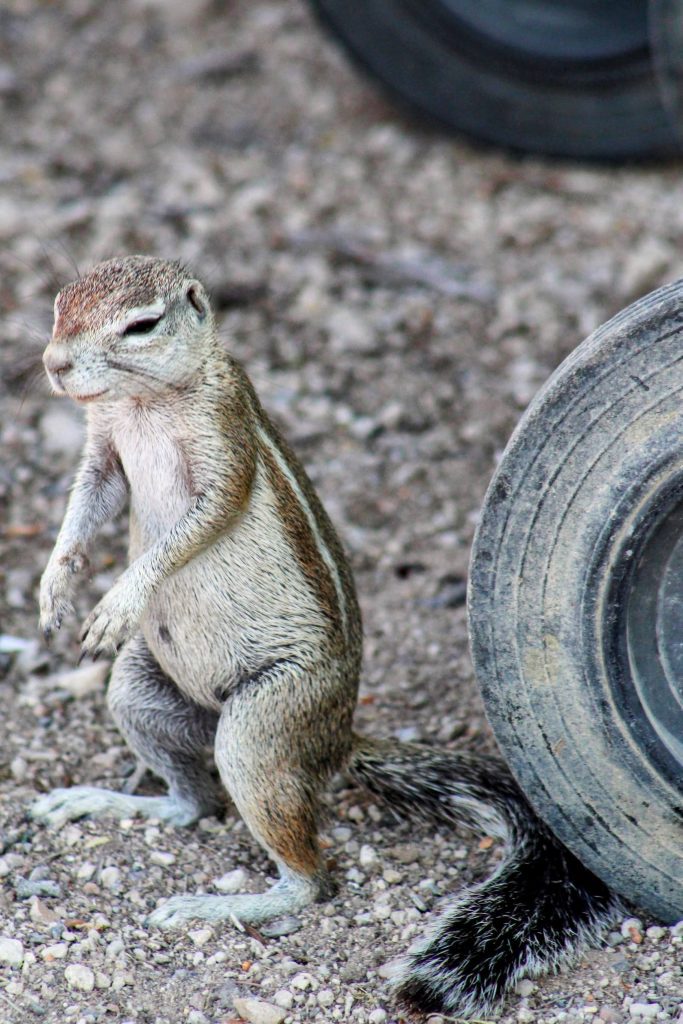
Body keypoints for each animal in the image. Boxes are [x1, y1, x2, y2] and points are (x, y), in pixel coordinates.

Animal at [31, 256, 618, 1015]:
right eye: (58, 306)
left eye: (141, 325)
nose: (53, 364)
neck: (141, 403)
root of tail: (335, 742)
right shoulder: (103, 448)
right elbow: (86, 503)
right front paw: (55, 584)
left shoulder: (223, 447)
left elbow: (197, 525)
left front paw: (117, 600)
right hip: (140, 691)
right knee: (192, 806)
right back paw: (106, 800)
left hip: (260, 730)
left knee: (311, 880)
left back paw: (220, 905)